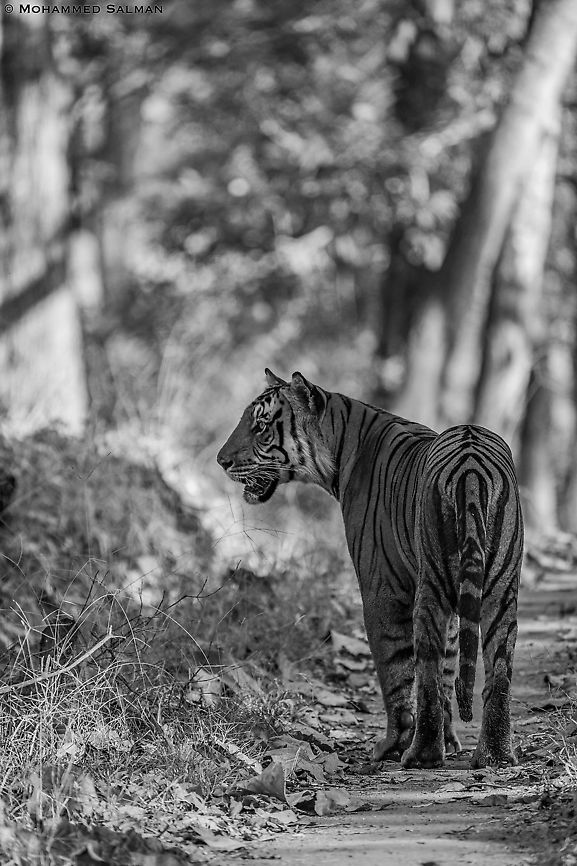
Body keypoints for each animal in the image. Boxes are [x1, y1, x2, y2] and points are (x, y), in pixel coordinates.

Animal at [217, 370, 524, 769]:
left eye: (261, 426)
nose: (220, 461)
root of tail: (470, 465)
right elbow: (448, 669)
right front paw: (452, 741)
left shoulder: (381, 588)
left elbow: (397, 673)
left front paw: (393, 744)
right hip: (502, 589)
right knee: (498, 672)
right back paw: (495, 754)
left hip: (431, 588)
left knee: (424, 673)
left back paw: (421, 755)